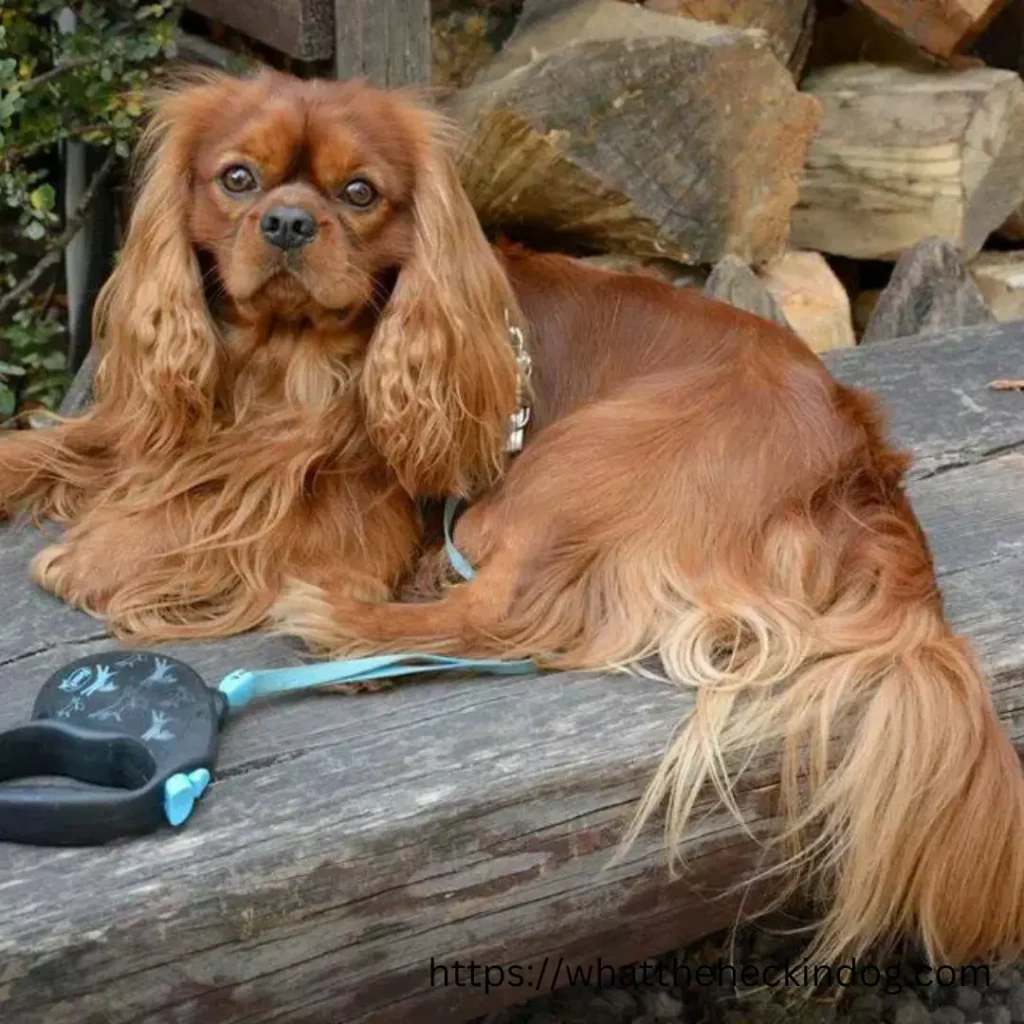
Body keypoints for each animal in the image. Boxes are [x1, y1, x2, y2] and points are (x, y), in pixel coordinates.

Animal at [2, 70, 1024, 966]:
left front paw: (96, 554)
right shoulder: (162, 423)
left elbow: (200, 523)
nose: (289, 222)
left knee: (503, 613)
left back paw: (344, 625)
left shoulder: (351, 517)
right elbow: (92, 446)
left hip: (584, 459)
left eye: (361, 193)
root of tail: (864, 475)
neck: (273, 366)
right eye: (238, 179)